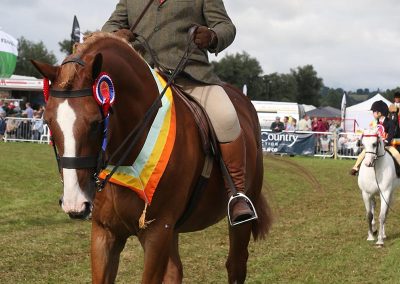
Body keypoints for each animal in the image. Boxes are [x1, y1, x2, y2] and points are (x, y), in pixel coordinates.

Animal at [32, 32, 272, 282]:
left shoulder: (157, 232)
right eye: (48, 122)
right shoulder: (105, 232)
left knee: (235, 265)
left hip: (238, 222)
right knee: (175, 270)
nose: (75, 204)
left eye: (96, 123)